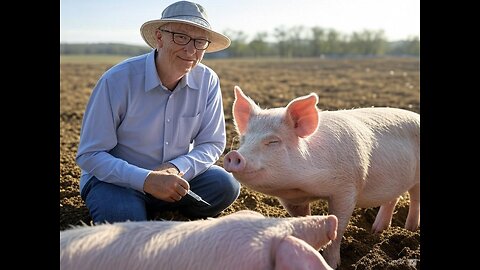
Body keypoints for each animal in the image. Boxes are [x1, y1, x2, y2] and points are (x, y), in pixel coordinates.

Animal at [223, 86, 418, 268]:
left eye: (273, 141)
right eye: (244, 140)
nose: (233, 155)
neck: (303, 188)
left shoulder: (347, 187)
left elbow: (338, 228)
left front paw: (332, 264)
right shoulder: (292, 200)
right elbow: (303, 221)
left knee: (415, 198)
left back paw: (411, 230)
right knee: (393, 198)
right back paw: (377, 231)